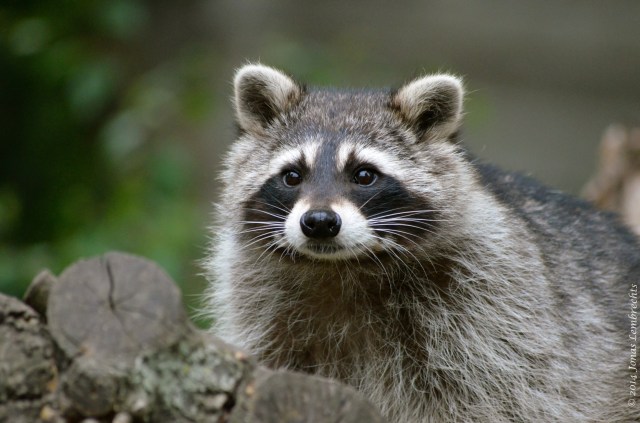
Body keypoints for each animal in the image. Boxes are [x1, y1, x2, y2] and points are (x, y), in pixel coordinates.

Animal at [204, 64, 640, 422]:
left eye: (364, 175)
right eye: (292, 176)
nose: (319, 223)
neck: (344, 267)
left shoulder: (496, 307)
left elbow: (493, 396)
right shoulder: (264, 307)